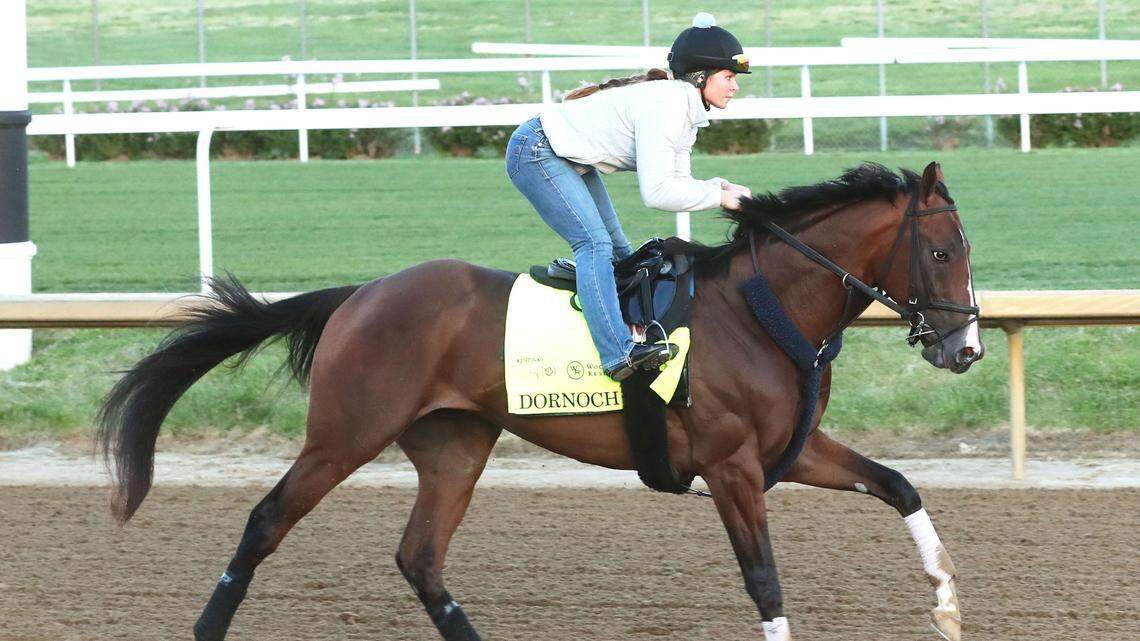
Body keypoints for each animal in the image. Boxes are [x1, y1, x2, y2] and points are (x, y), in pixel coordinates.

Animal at [97, 161, 983, 641]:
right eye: (942, 251)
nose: (966, 348)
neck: (763, 311)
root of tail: (361, 293)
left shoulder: (788, 451)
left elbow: (899, 483)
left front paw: (946, 601)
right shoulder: (731, 464)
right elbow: (764, 578)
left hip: (454, 444)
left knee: (420, 556)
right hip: (345, 433)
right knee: (266, 521)